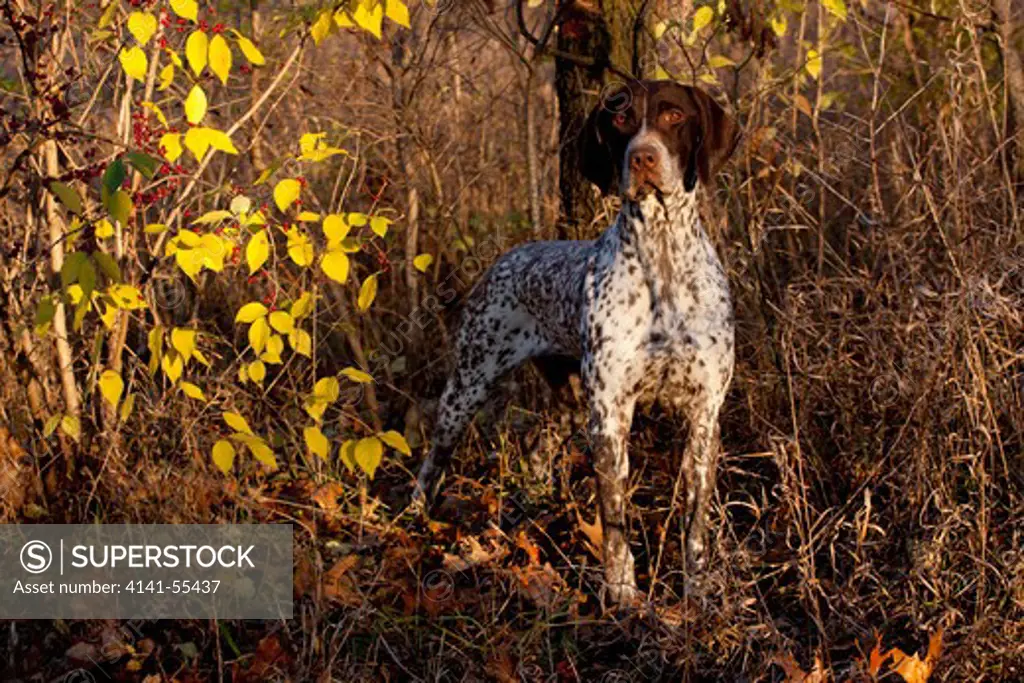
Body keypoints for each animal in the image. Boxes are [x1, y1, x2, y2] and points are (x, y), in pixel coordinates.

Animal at [411, 81, 741, 610]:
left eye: (673, 115)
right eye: (621, 119)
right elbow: (615, 521)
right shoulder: (609, 414)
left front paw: (698, 590)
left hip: (565, 402)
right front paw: (623, 594)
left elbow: (695, 524)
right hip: (468, 385)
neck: (663, 258)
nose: (643, 157)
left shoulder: (705, 413)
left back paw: (537, 501)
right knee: (433, 459)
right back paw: (415, 516)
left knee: (536, 446)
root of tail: (511, 255)